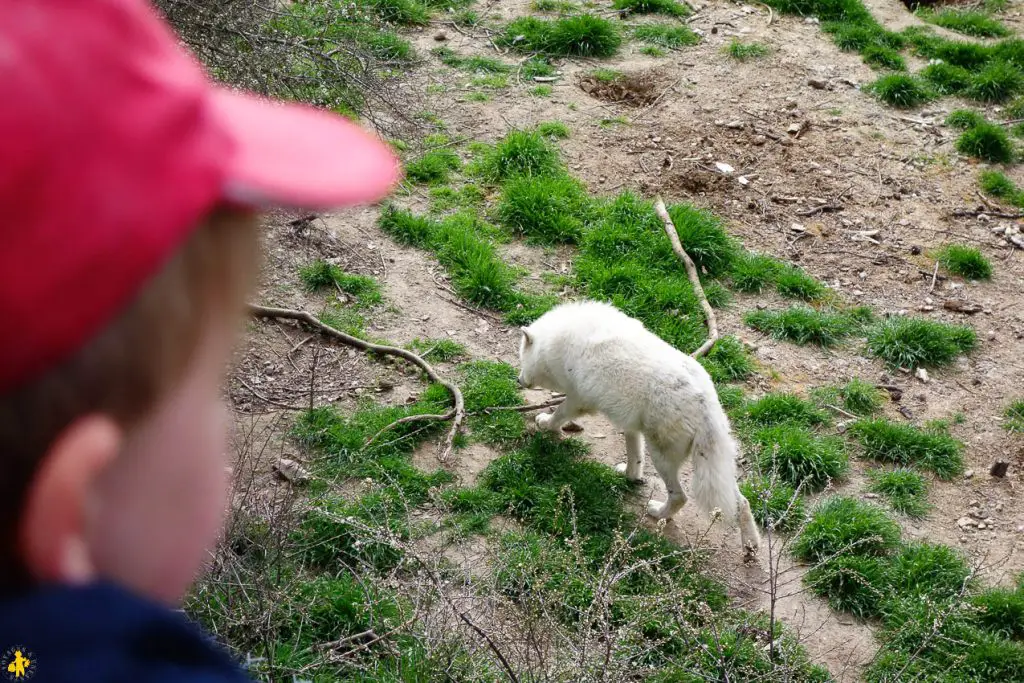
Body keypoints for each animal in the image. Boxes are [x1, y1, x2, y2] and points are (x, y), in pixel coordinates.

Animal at [520, 301, 761, 557]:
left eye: (521, 359)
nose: (518, 380)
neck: (559, 341)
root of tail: (705, 405)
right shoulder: (630, 424)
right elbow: (635, 454)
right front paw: (629, 475)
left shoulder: (577, 399)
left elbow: (559, 414)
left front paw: (545, 423)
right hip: (716, 467)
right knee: (742, 502)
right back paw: (751, 546)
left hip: (662, 458)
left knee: (681, 497)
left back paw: (658, 513)